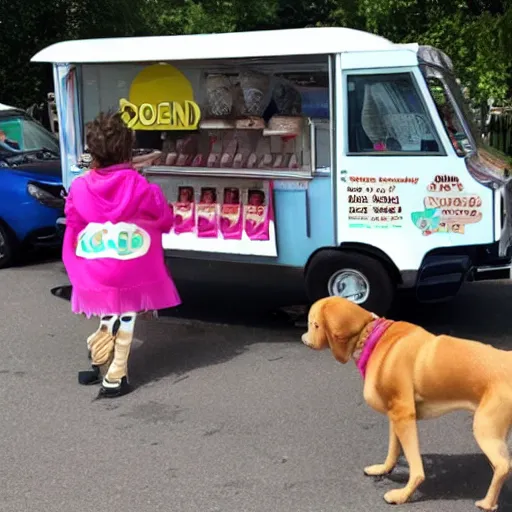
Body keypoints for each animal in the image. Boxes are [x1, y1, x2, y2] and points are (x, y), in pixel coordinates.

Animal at [300, 294, 512, 510]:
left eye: (314, 324)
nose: (303, 338)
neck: (369, 334)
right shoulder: (395, 415)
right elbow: (393, 449)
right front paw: (384, 469)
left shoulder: (404, 415)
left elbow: (416, 468)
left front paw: (403, 495)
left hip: (485, 426)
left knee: (503, 466)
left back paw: (487, 503)